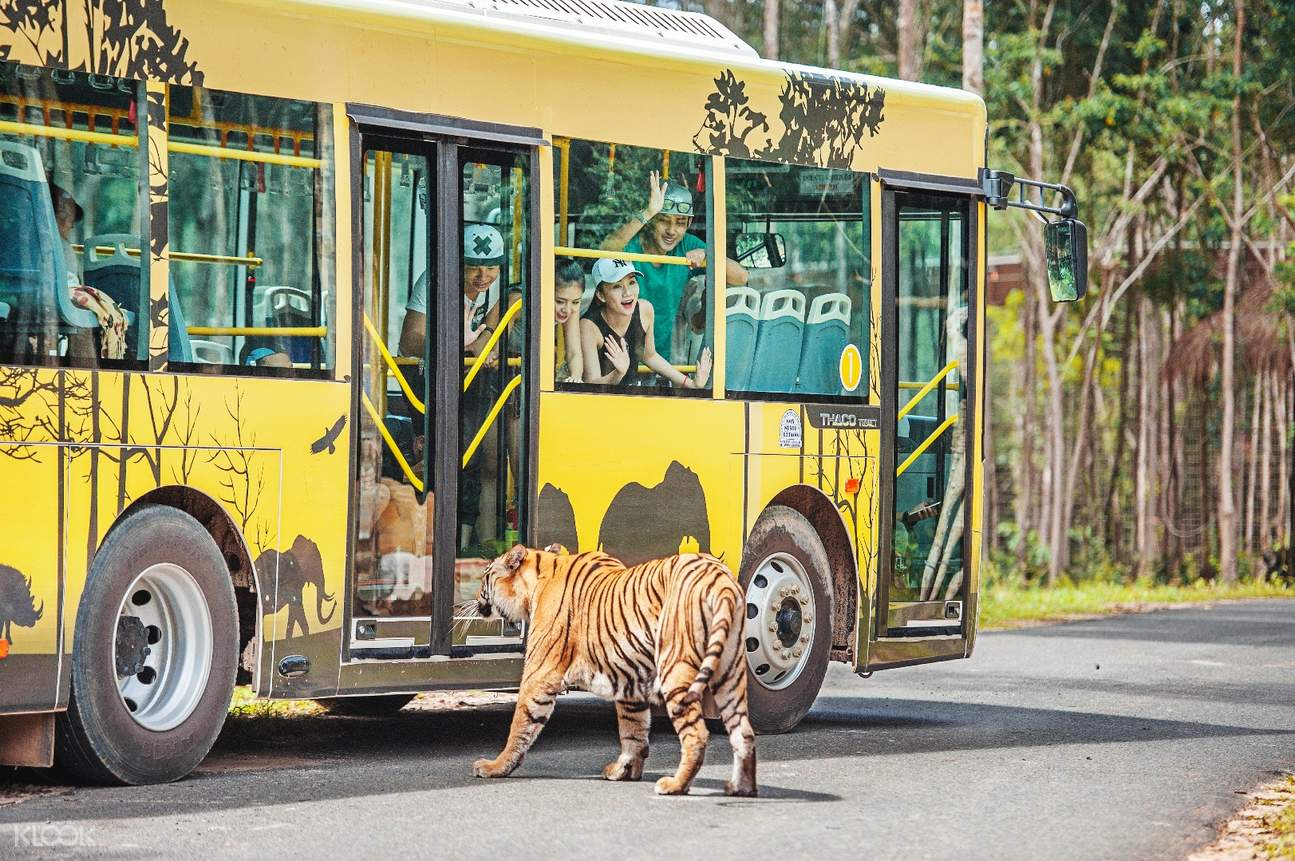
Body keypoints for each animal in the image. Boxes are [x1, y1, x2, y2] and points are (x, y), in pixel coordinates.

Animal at [471, 544, 757, 797]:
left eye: (485, 576)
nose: (475, 599)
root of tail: (720, 577)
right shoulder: (631, 680)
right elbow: (633, 730)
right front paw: (624, 771)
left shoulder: (540, 674)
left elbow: (521, 724)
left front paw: (495, 767)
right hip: (730, 674)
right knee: (743, 732)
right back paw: (741, 788)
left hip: (676, 668)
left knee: (697, 734)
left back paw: (675, 785)